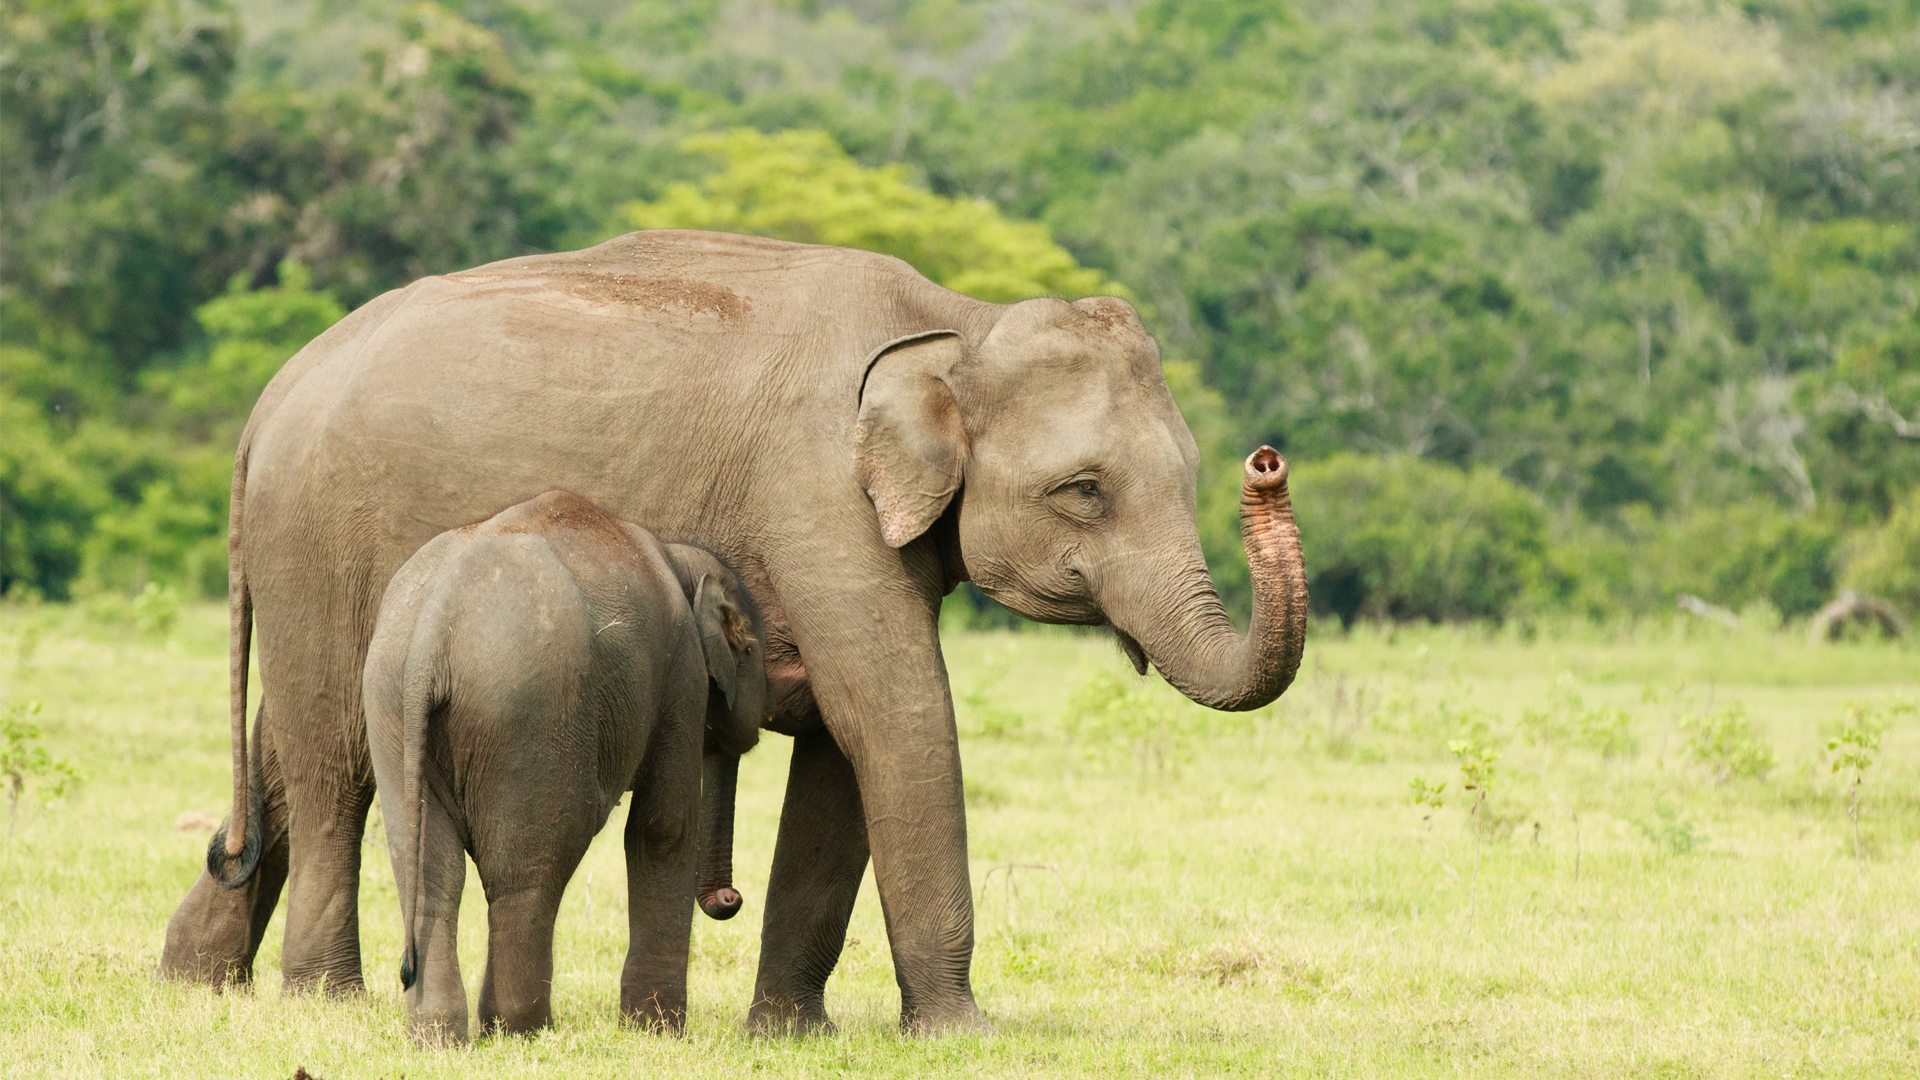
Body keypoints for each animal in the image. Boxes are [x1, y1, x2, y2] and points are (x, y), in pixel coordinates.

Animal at [361, 490, 766, 1043]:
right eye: (752, 649)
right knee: (529, 869)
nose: (731, 898)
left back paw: (438, 1038)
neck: (680, 557)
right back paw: (521, 1030)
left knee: (429, 870)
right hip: (531, 711)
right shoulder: (681, 672)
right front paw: (657, 1031)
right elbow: (663, 829)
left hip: (392, 707)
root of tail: (431, 633)